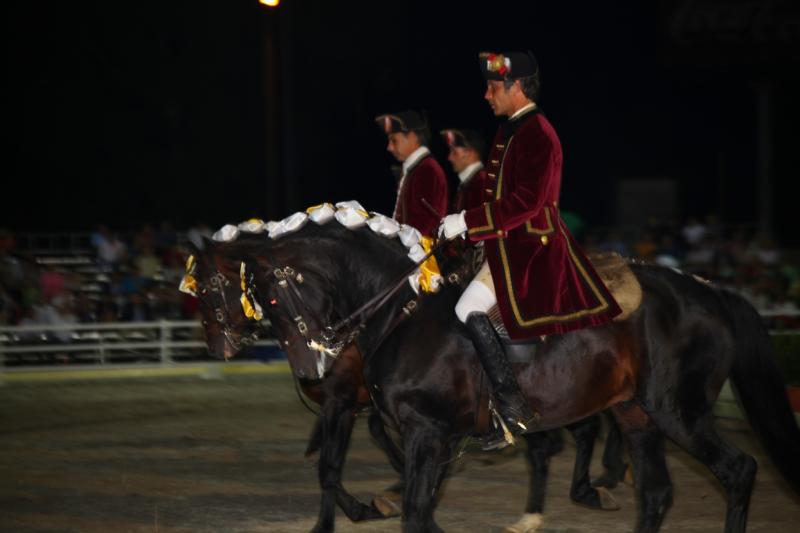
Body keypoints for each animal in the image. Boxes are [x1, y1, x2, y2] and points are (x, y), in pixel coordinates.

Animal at [186, 217, 792, 532]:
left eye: (220, 292)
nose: (311, 367)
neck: (398, 311)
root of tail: (710, 290)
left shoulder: (424, 430)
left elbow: (404, 506)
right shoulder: (418, 432)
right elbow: (410, 502)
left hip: (677, 411)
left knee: (737, 471)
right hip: (636, 412)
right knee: (656, 492)